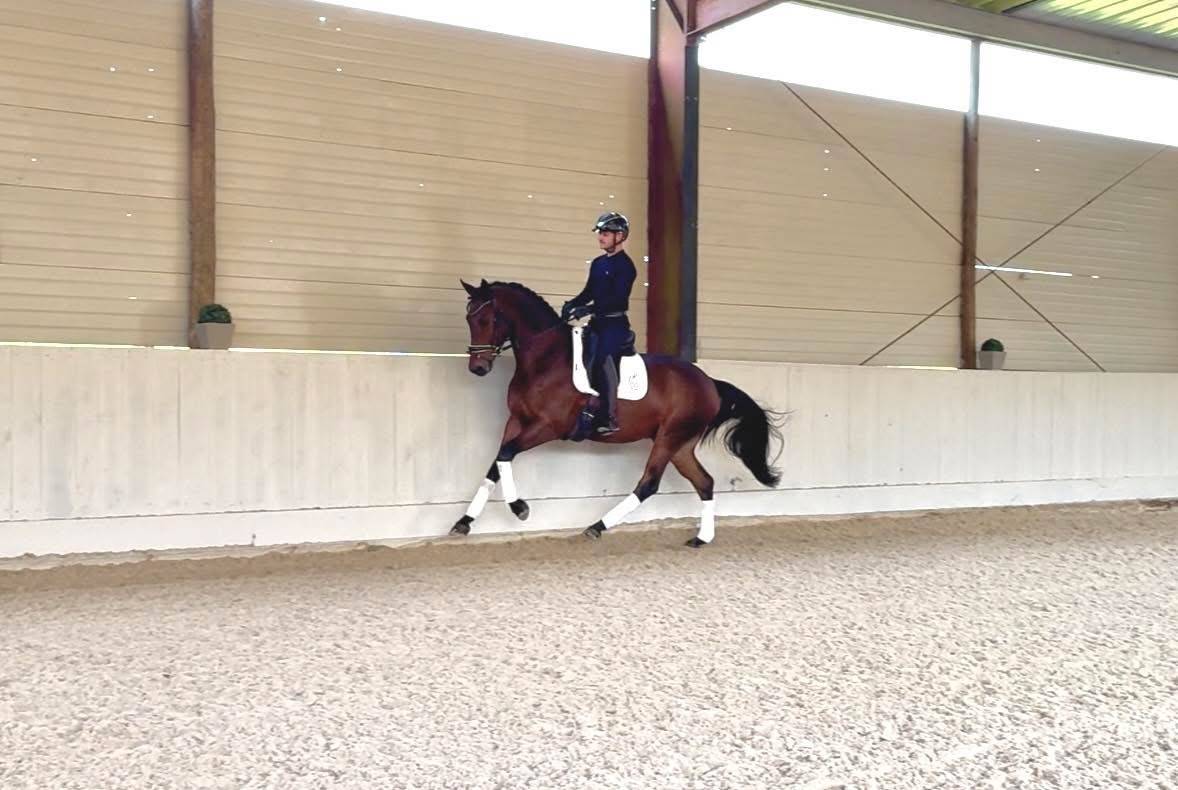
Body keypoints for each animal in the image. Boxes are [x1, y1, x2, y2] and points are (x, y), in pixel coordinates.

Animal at [453, 278, 784, 547]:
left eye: (487, 318)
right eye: (468, 317)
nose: (478, 368)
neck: (544, 360)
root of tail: (710, 382)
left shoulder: (548, 426)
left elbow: (506, 454)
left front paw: (520, 508)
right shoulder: (516, 421)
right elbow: (497, 463)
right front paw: (464, 522)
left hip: (669, 438)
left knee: (649, 484)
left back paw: (597, 527)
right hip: (680, 444)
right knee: (704, 482)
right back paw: (701, 538)